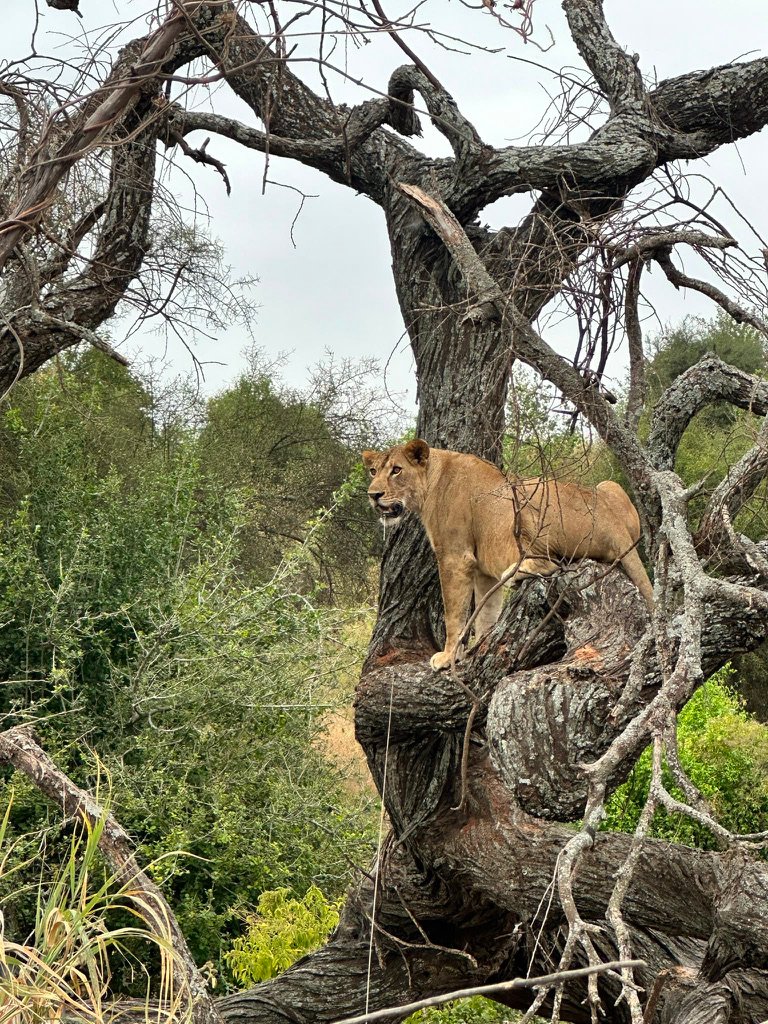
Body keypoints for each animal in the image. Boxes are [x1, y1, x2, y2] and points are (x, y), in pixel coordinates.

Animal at [362, 439, 653, 671]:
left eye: (397, 470)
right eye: (373, 471)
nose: (373, 495)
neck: (430, 481)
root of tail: (612, 521)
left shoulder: (455, 557)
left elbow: (453, 613)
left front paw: (448, 656)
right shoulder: (481, 570)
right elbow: (485, 610)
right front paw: (479, 645)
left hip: (525, 500)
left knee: (554, 563)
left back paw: (515, 572)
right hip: (608, 486)